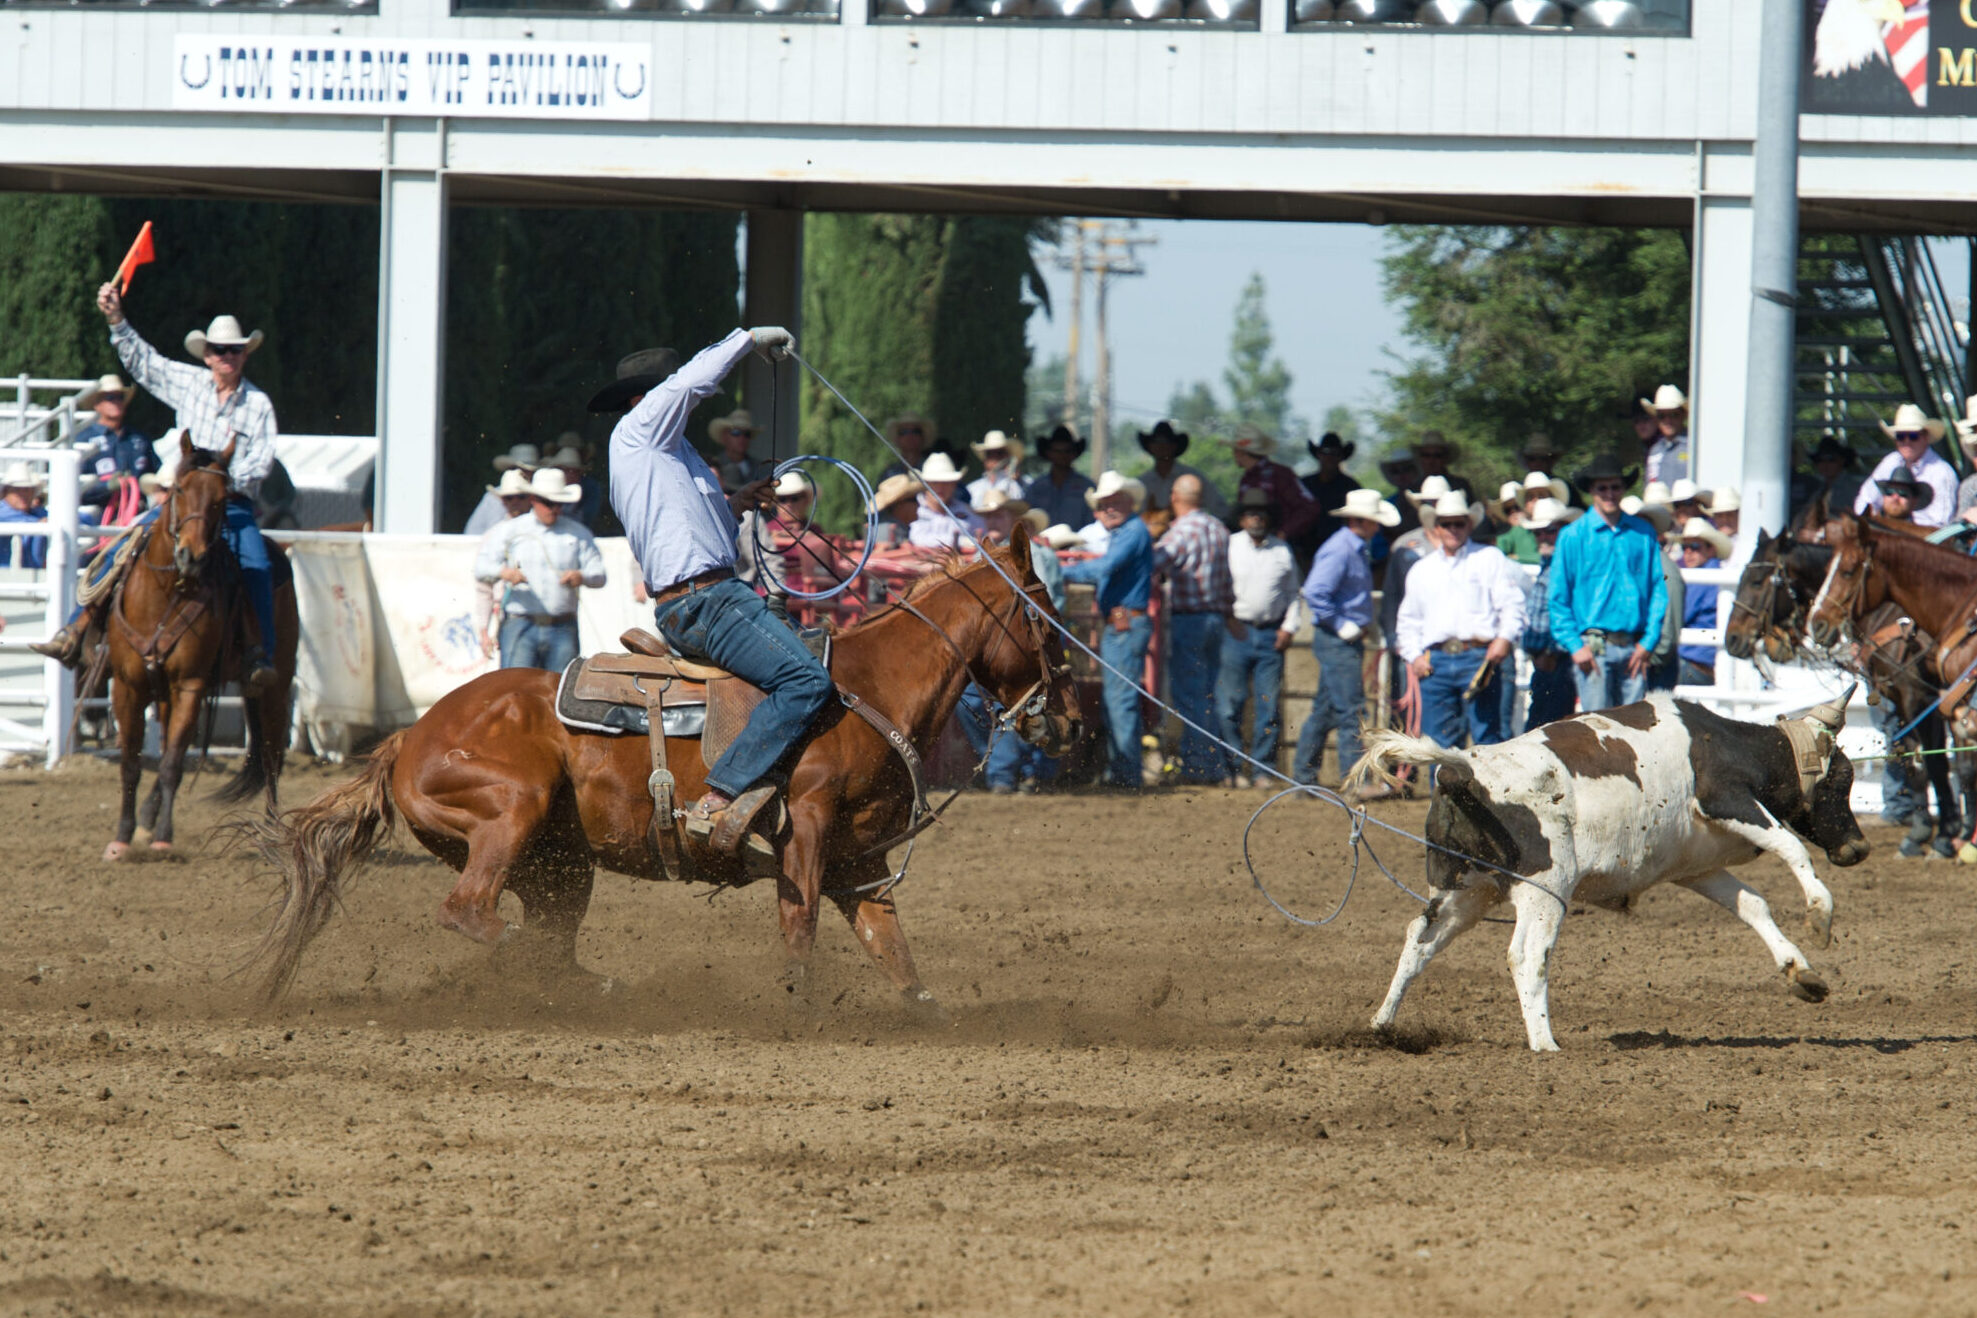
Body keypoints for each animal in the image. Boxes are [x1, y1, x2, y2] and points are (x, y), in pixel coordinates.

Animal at [105, 438, 298, 861]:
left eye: (222, 500)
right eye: (179, 490)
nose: (190, 557)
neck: (164, 594)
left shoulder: (191, 683)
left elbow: (173, 764)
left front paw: (163, 836)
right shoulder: (128, 685)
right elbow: (131, 763)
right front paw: (123, 836)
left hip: (275, 686)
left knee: (273, 756)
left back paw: (274, 832)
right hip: (163, 692)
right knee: (165, 742)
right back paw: (147, 814)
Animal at [245, 529, 1091, 1019]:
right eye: (1047, 620)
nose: (1074, 724)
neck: (864, 691)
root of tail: (409, 737)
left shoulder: (861, 857)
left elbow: (894, 950)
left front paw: (925, 1013)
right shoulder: (807, 831)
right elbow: (800, 927)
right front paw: (797, 1009)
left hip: (559, 866)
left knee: (540, 934)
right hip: (509, 807)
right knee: (471, 912)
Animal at [1344, 695, 1866, 1059]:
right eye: (1842, 781)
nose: (1858, 848)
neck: (1722, 744)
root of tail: (1464, 766)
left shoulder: (1695, 867)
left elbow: (1753, 904)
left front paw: (1801, 974)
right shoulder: (1727, 799)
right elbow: (1793, 847)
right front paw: (1820, 916)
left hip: (1465, 890)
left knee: (1420, 940)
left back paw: (1381, 1024)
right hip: (1545, 889)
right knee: (1526, 955)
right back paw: (1544, 1042)